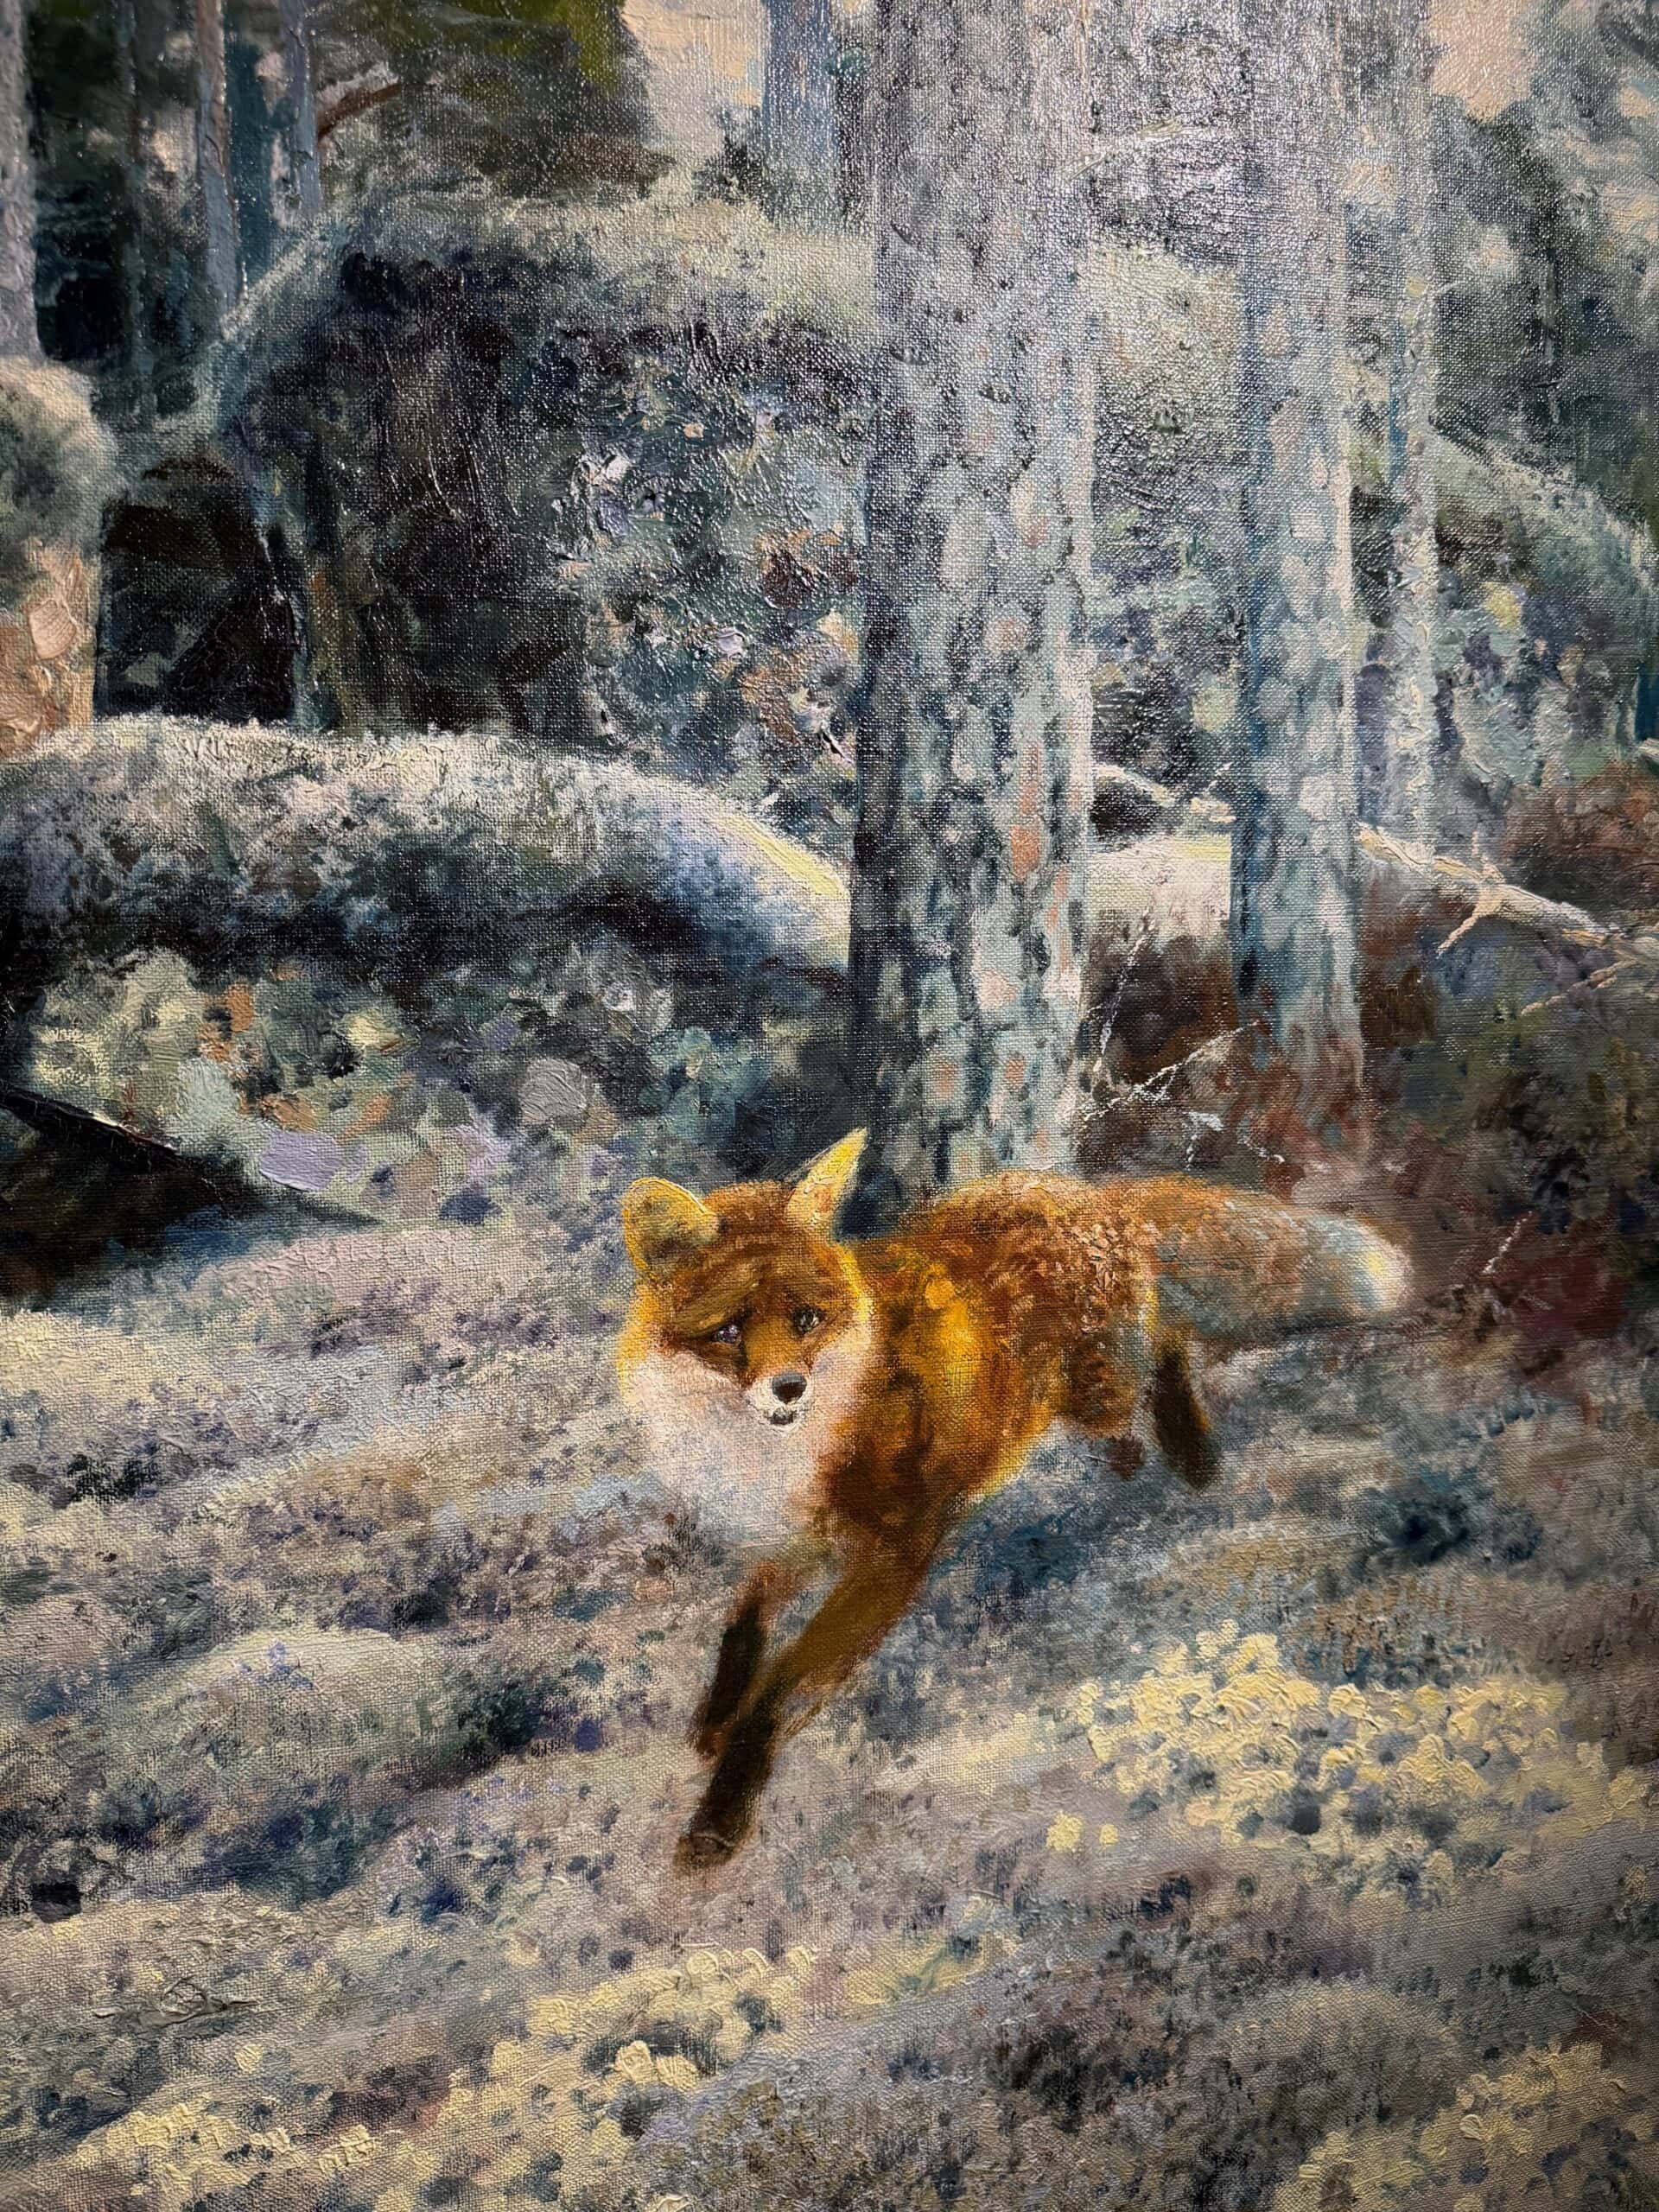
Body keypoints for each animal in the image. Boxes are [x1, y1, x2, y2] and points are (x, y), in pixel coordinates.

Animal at [616, 1131, 1410, 1870]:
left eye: (807, 1319)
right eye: (729, 1331)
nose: (788, 1389)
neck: (783, 1448)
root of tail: (1083, 1193)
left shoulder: (895, 1551)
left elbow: (778, 1692)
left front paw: (720, 1816)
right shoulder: (793, 1538)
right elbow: (742, 1627)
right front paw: (715, 1717)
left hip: (1100, 1386)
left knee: (1169, 1345)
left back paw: (1193, 1455)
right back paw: (1135, 1463)